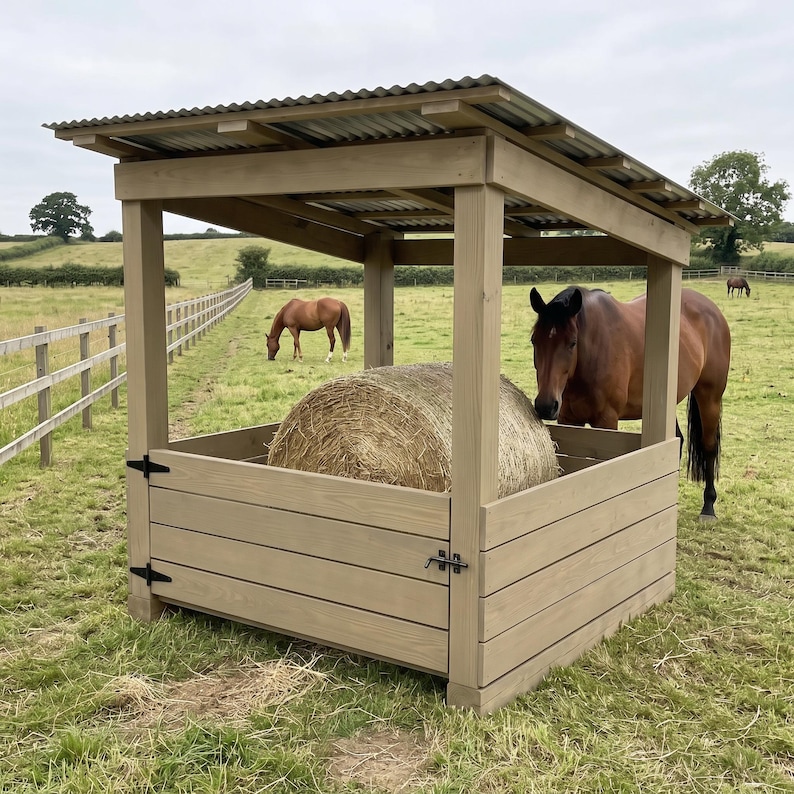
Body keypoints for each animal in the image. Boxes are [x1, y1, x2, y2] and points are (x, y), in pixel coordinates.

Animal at [529, 286, 731, 520]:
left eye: (572, 342)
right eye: (534, 340)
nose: (545, 405)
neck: (593, 353)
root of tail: (713, 311)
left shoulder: (606, 420)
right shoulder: (568, 419)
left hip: (709, 396)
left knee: (709, 445)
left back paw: (708, 506)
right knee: (679, 439)